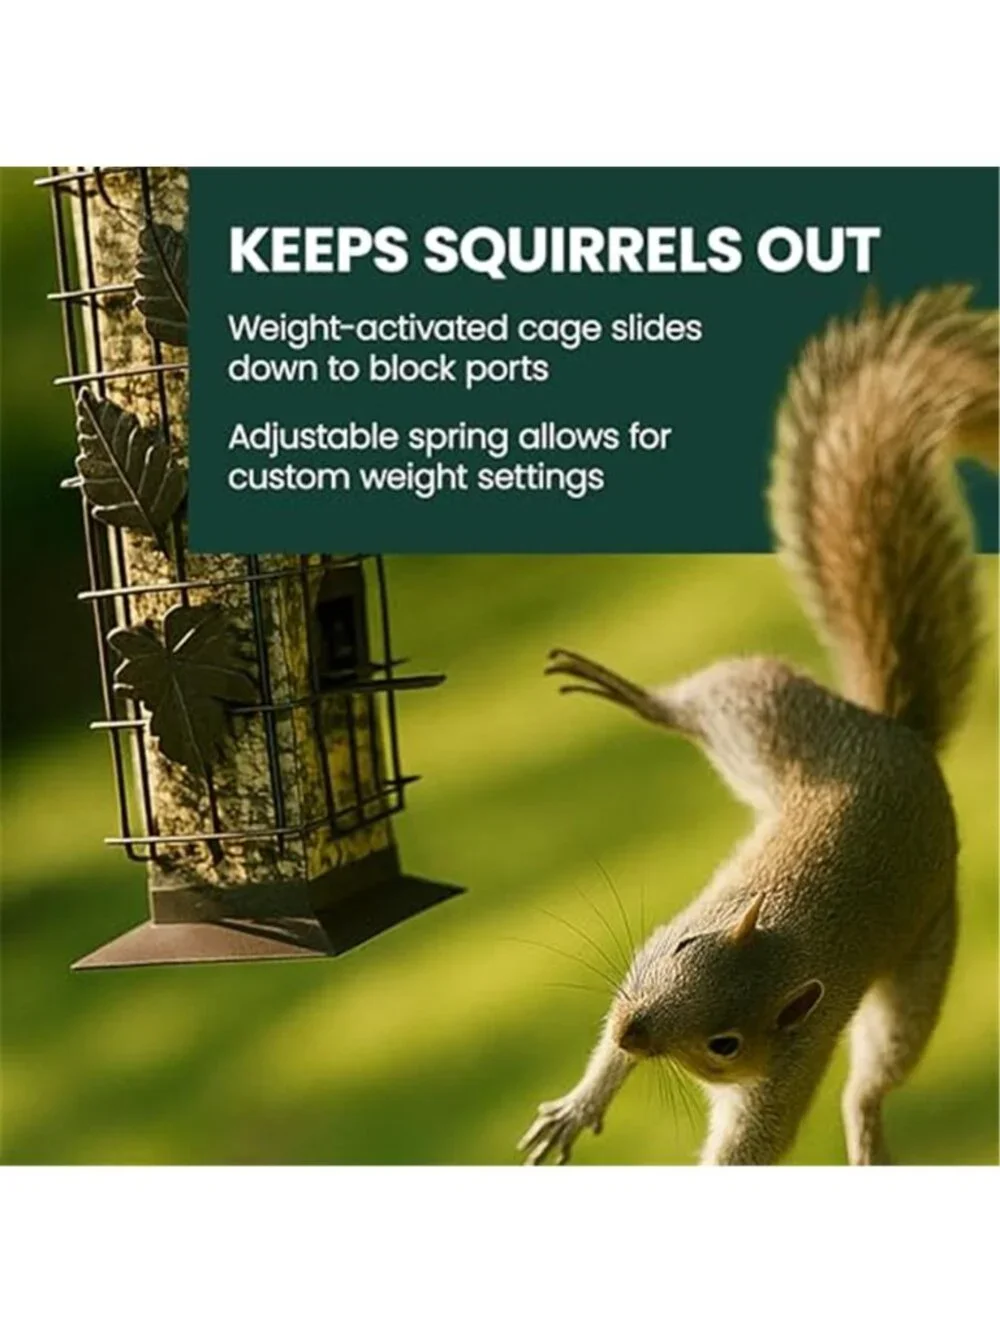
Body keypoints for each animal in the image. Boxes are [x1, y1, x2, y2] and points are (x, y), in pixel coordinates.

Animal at [518, 286, 998, 1166]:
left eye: (726, 1044)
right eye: (684, 949)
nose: (637, 1031)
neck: (786, 937)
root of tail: (903, 736)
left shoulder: (787, 1066)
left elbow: (747, 1146)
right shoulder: (645, 958)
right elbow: (609, 1022)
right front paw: (578, 1103)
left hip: (923, 963)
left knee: (875, 1074)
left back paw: (867, 1134)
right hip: (770, 719)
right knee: (693, 704)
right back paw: (629, 691)